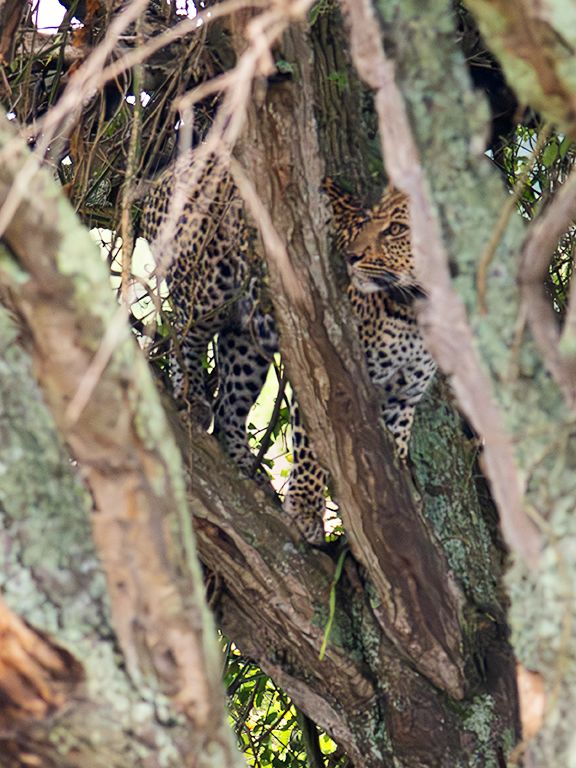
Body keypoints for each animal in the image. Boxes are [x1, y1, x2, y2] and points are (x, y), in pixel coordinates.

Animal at [140, 152, 435, 546]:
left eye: (397, 229)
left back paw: (248, 469)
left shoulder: (401, 400)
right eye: (374, 222)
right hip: (206, 285)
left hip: (247, 338)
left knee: (230, 406)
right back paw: (191, 396)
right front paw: (305, 512)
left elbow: (393, 464)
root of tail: (176, 165)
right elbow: (312, 451)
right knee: (183, 332)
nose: (352, 256)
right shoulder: (325, 375)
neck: (413, 312)